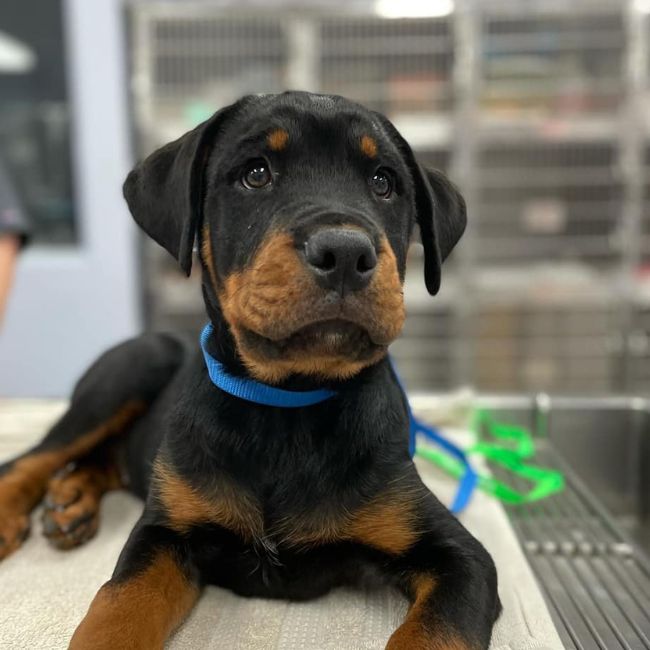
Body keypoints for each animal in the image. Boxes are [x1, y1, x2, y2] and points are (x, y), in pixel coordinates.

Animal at [0, 92, 498, 648]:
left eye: (384, 182)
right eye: (256, 174)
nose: (346, 252)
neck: (287, 402)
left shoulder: (457, 555)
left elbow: (436, 632)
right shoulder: (164, 532)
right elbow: (117, 606)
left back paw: (72, 500)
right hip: (131, 368)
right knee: (34, 458)